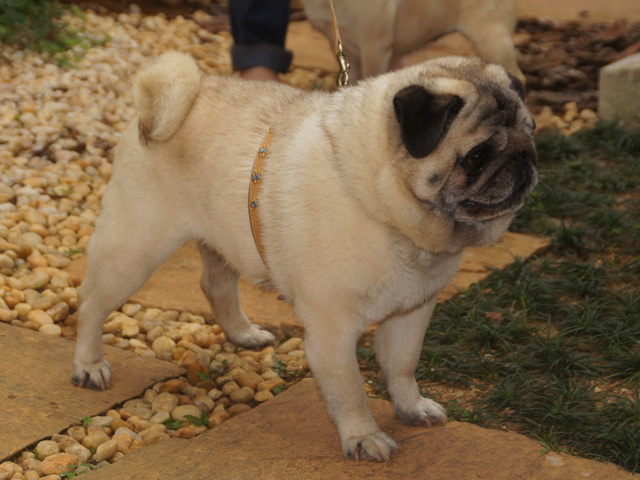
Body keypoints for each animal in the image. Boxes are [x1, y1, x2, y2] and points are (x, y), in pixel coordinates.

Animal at [72, 52, 536, 462]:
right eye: (477, 157)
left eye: (531, 135)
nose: (524, 160)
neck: (388, 209)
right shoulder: (333, 329)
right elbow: (350, 389)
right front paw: (364, 437)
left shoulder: (411, 313)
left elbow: (402, 367)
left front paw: (411, 406)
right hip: (133, 250)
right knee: (91, 305)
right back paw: (89, 365)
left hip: (222, 238)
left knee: (215, 286)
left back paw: (243, 333)